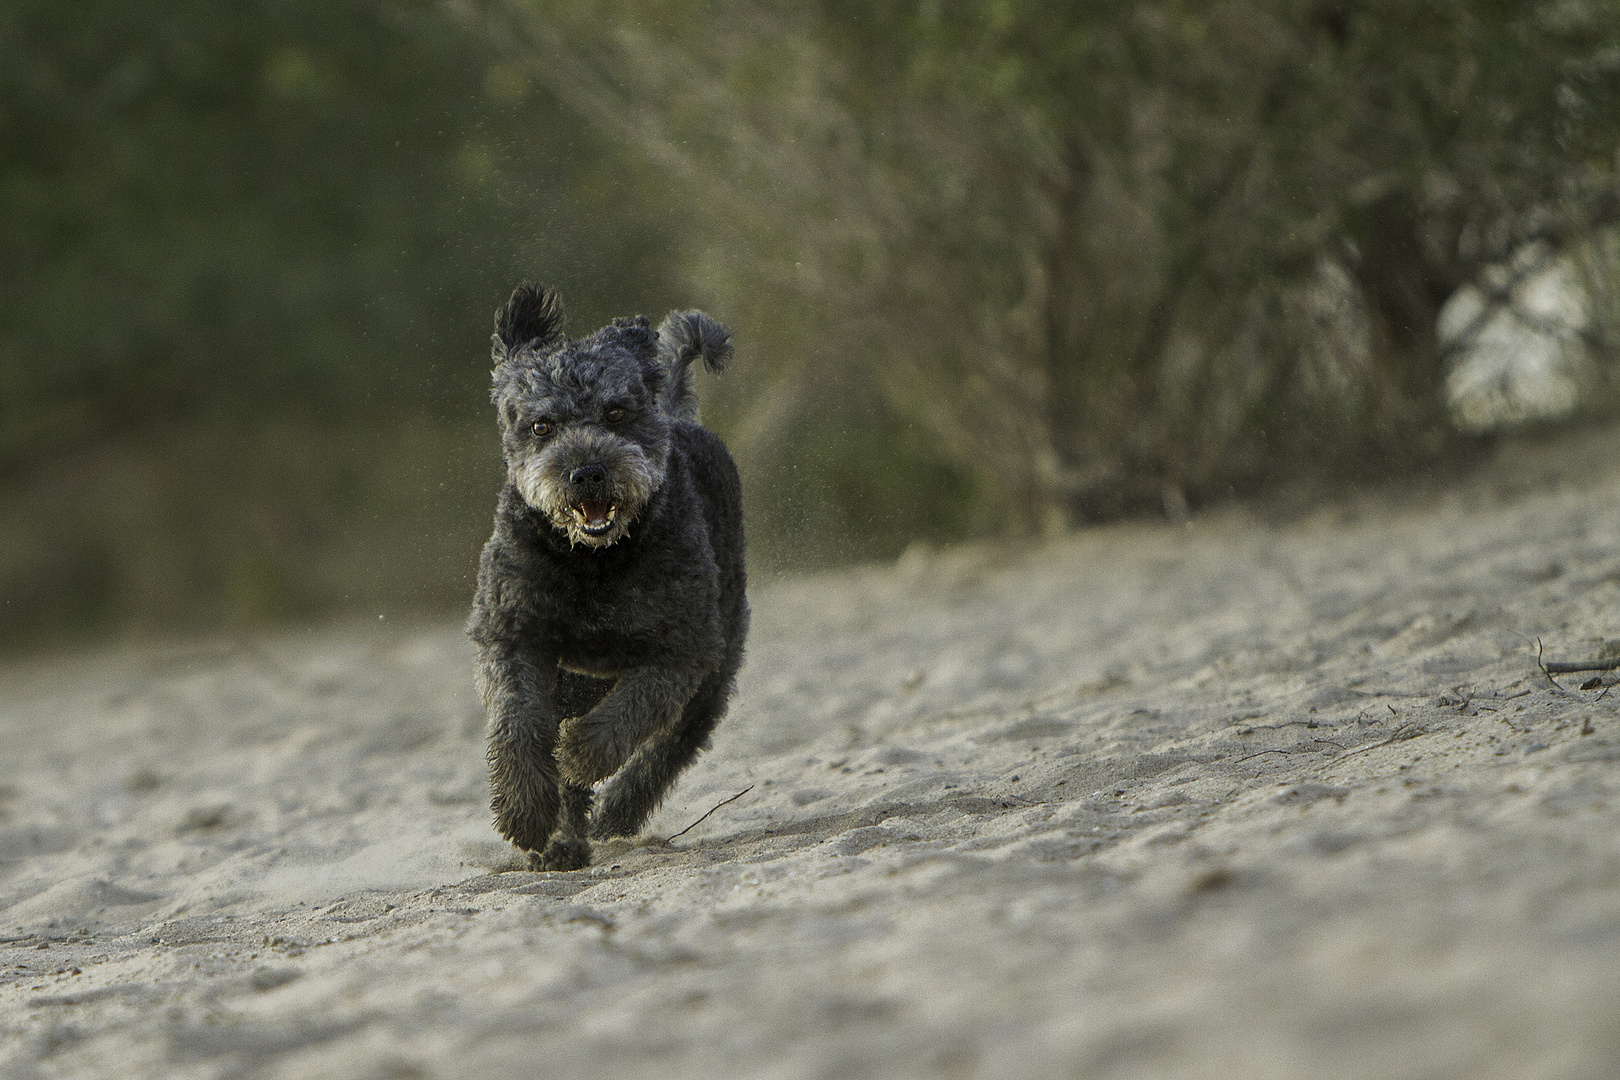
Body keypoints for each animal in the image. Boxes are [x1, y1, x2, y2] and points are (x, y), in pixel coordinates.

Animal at [469, 283, 745, 874]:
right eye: (541, 425)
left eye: (616, 412)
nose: (588, 472)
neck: (592, 562)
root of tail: (677, 411)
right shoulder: (512, 633)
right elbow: (517, 720)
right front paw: (524, 809)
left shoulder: (681, 648)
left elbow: (632, 712)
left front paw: (580, 752)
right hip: (574, 681)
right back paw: (562, 842)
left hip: (717, 664)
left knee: (672, 747)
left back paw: (618, 811)